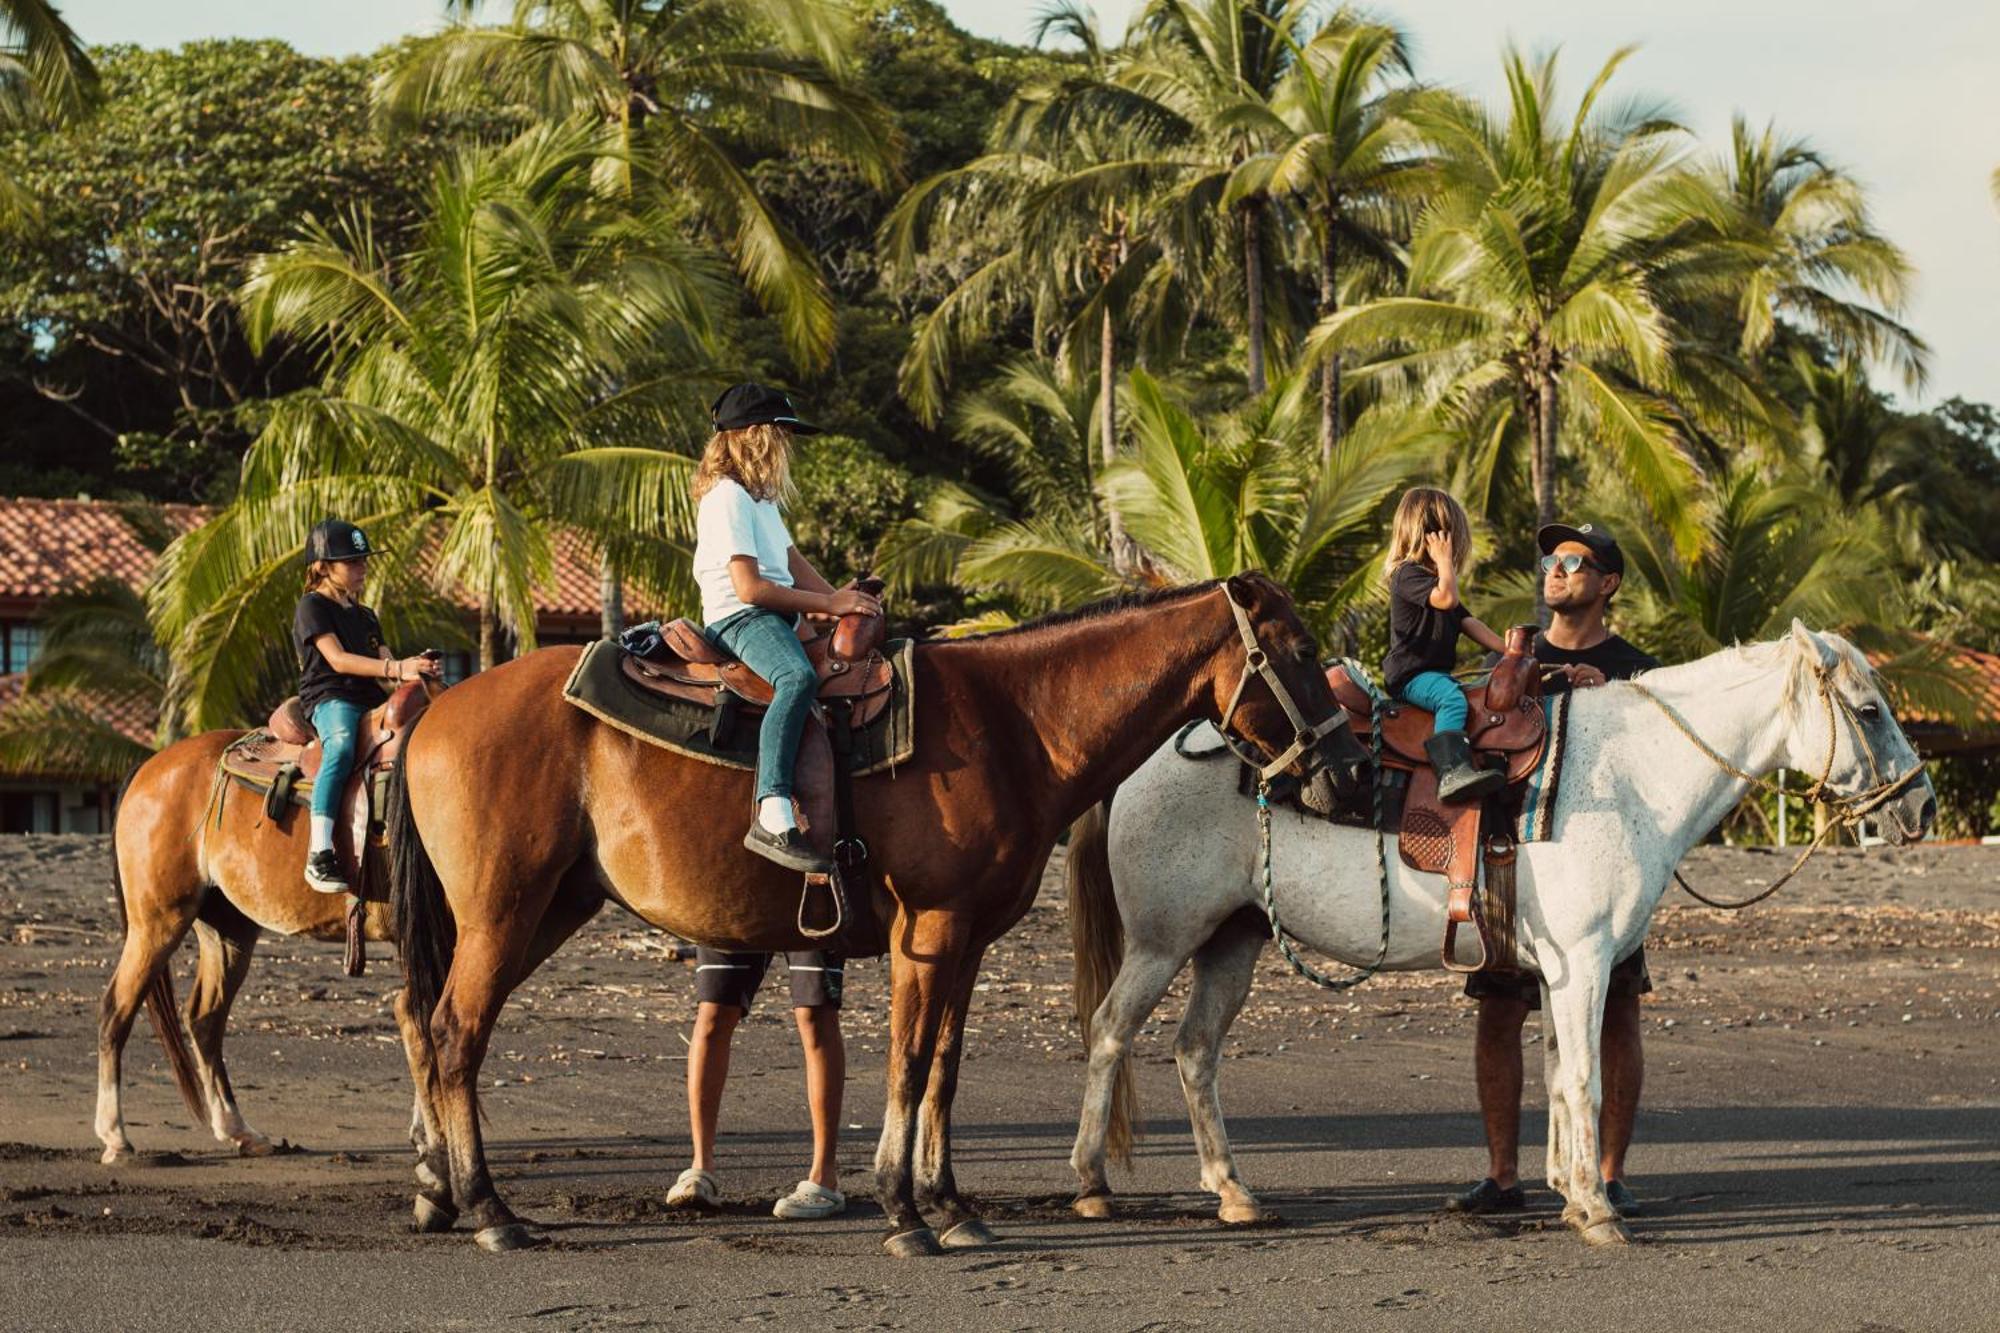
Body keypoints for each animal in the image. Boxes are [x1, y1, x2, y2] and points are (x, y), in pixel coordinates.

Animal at [388, 568, 1360, 1248]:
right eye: (1298, 649)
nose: (1348, 770)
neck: (1015, 723)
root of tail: (440, 705)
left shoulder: (968, 940)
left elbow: (945, 1069)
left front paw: (950, 1202)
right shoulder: (926, 931)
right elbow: (907, 1060)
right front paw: (903, 1210)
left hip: (547, 907)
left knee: (431, 1023)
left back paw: (438, 1191)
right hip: (505, 911)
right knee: (455, 1031)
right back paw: (488, 1208)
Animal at [1072, 628, 1928, 1240]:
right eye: (1870, 710)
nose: (1920, 806)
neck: (1631, 773)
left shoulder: (1560, 969)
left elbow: (1555, 1075)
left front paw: (1574, 1195)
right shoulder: (1583, 961)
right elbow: (1582, 1079)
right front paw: (1599, 1211)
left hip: (1233, 940)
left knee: (1195, 1049)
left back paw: (1233, 1191)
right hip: (1162, 940)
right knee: (1111, 1030)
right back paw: (1090, 1182)